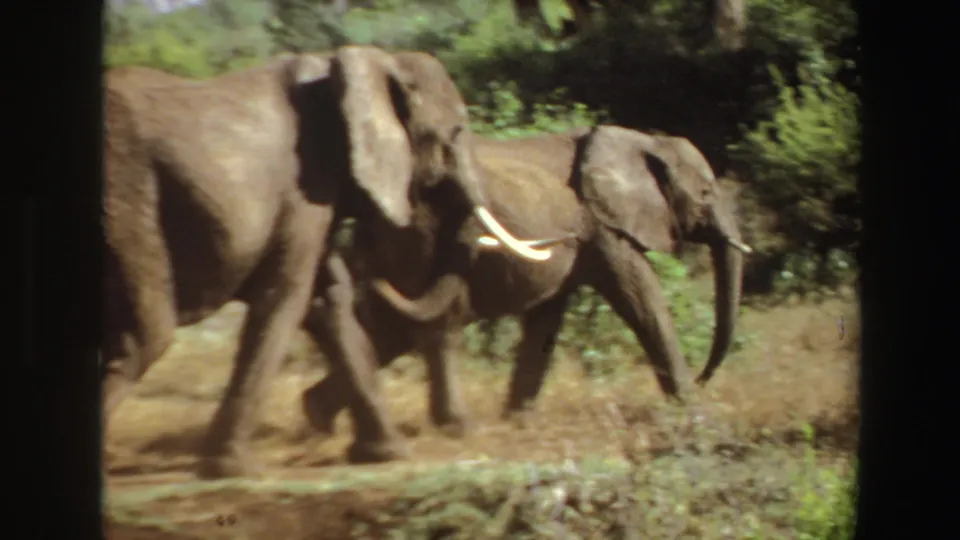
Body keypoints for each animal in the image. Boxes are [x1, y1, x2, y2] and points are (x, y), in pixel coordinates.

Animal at [102, 46, 556, 479]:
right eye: (455, 132)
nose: (379, 276)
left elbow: (331, 301)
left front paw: (386, 454)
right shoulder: (306, 185)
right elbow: (286, 295)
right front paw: (234, 469)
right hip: (127, 193)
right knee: (147, 336)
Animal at [299, 125, 751, 437]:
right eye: (706, 194)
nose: (705, 378)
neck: (643, 139)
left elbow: (546, 319)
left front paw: (519, 420)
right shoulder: (602, 225)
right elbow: (642, 296)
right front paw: (694, 411)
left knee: (393, 326)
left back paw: (317, 419)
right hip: (419, 234)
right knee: (431, 324)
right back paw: (456, 428)